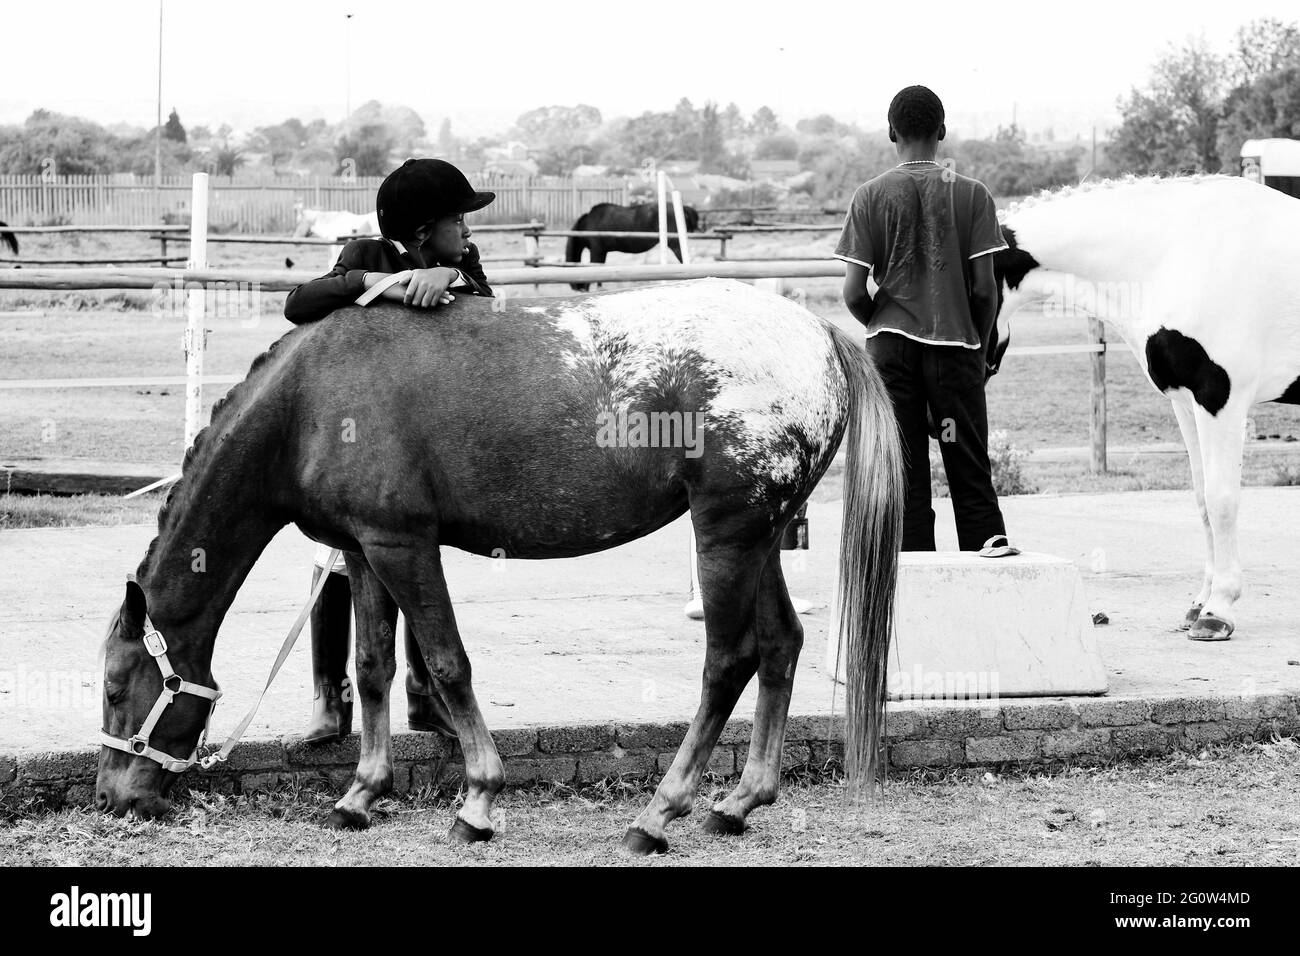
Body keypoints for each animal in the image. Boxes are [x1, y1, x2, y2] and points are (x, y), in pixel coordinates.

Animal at [564, 201, 696, 291]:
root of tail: (684, 208)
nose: (577, 287)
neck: (587, 224)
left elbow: (593, 267)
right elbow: (600, 268)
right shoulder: (602, 251)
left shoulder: (596, 250)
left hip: (675, 244)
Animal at [993, 175, 1300, 642]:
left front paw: (1219, 610)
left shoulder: (1221, 399)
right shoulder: (1187, 405)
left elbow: (1222, 499)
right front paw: (1200, 603)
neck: (1172, 254)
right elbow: (1201, 499)